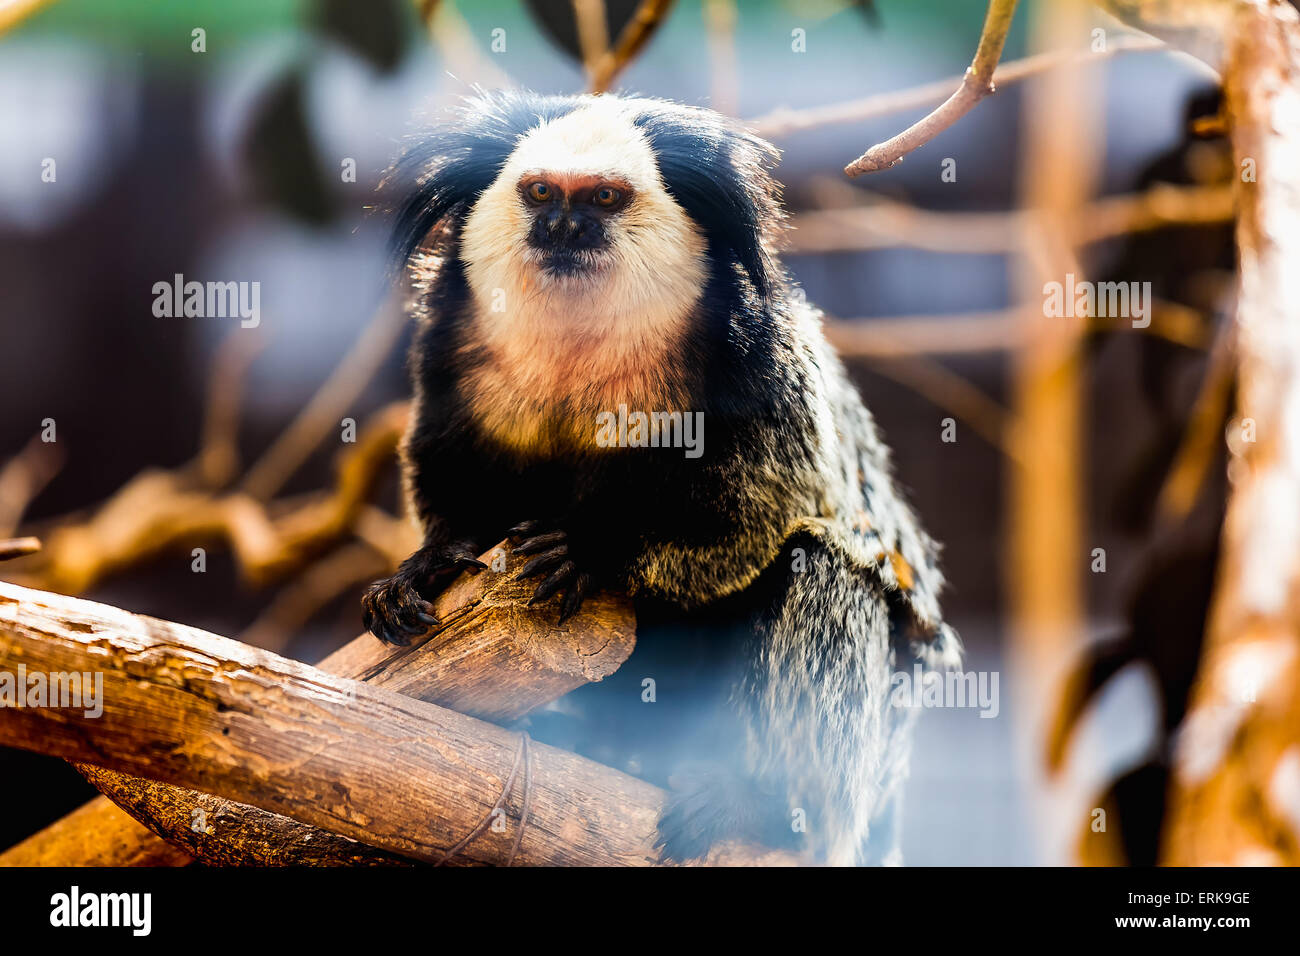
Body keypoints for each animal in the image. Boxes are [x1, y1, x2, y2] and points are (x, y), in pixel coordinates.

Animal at [361, 91, 961, 868]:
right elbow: (450, 480)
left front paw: (591, 550)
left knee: (826, 568)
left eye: (604, 198)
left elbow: (758, 516)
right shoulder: (450, 344)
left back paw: (766, 804)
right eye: (541, 192)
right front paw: (427, 564)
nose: (563, 227)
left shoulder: (756, 361)